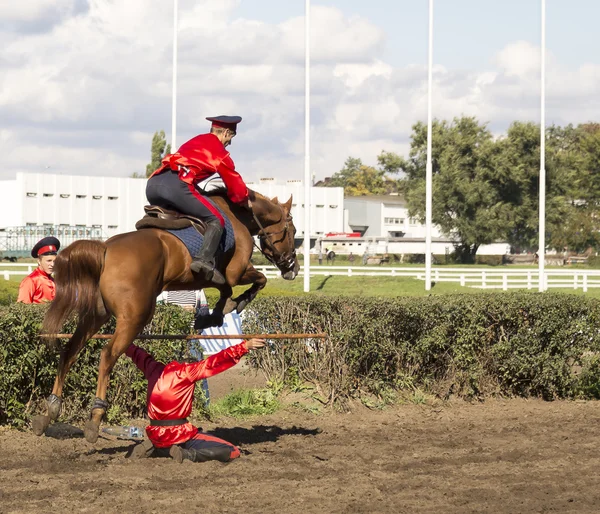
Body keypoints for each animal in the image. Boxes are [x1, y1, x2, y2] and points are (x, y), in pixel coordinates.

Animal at [31, 188, 298, 440]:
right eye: (293, 231)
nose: (292, 268)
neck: (238, 215)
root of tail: (105, 248)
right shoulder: (235, 272)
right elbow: (255, 280)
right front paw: (235, 304)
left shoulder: (217, 276)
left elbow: (229, 287)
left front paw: (215, 313)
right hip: (135, 317)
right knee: (107, 355)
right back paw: (95, 417)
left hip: (96, 315)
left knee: (70, 350)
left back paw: (50, 411)